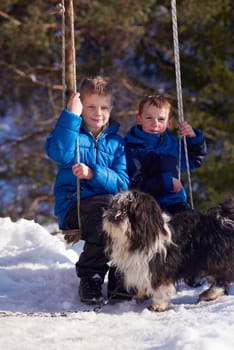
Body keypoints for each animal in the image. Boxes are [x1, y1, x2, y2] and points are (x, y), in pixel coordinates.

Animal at [103, 190, 234, 310]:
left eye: (128, 209)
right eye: (114, 207)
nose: (114, 216)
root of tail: (223, 221)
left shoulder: (159, 267)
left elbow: (160, 288)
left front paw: (158, 305)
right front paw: (142, 294)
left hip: (214, 258)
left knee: (223, 277)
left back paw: (209, 294)